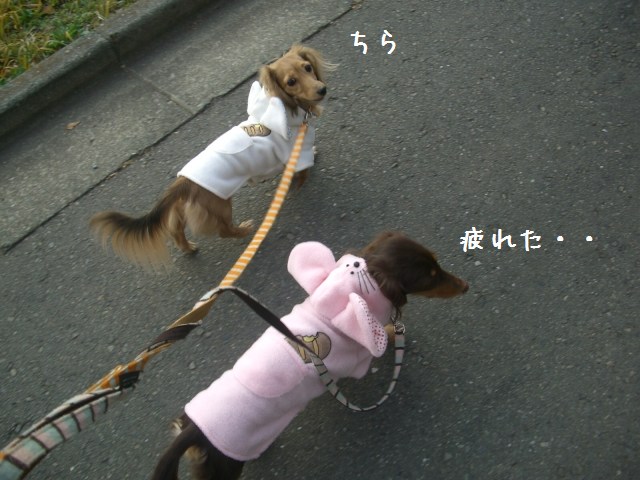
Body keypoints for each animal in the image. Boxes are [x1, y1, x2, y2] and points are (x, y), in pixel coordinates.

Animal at [90, 45, 333, 268]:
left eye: (308, 67)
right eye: (291, 81)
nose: (322, 89)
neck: (288, 113)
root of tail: (184, 181)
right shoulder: (297, 154)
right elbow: (303, 171)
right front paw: (300, 183)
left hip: (182, 211)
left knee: (176, 231)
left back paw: (188, 248)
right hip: (220, 205)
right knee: (224, 230)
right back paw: (245, 230)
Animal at [150, 231, 469, 479]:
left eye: (437, 263)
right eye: (429, 279)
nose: (465, 286)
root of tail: (192, 432)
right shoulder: (356, 357)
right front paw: (391, 333)